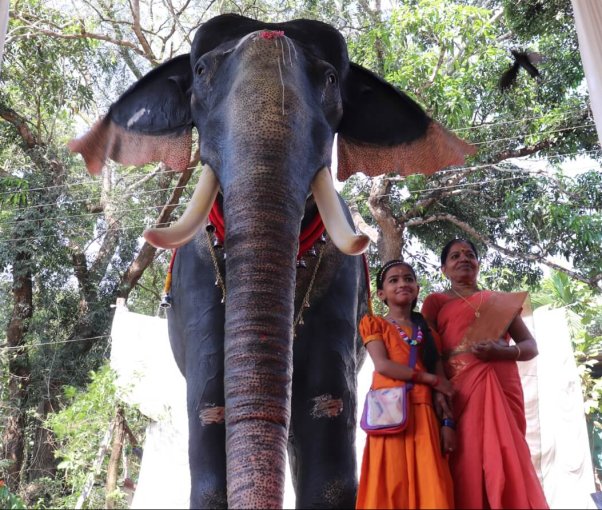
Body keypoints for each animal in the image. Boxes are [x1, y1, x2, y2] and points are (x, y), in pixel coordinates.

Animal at [69, 12, 474, 510]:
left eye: (331, 79)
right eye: (200, 72)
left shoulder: (340, 289)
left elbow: (325, 410)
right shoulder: (196, 283)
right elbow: (210, 408)